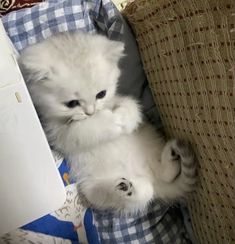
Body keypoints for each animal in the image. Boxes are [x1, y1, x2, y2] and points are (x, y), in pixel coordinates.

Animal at [19, 31, 196, 213]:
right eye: (72, 103)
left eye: (101, 94)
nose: (90, 112)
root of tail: (147, 176)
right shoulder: (58, 133)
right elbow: (83, 129)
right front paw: (111, 121)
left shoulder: (117, 100)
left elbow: (131, 105)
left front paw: (124, 118)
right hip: (92, 188)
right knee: (143, 193)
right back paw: (127, 188)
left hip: (150, 140)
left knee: (164, 175)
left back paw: (170, 157)